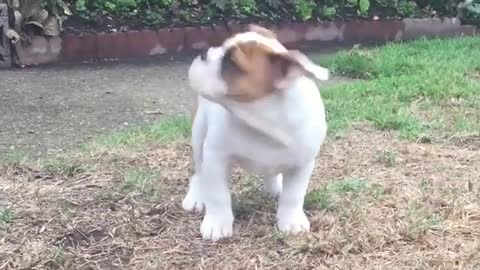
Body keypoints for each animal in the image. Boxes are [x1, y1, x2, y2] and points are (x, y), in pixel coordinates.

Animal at [182, 24, 328, 240]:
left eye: (231, 62)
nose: (203, 52)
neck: (263, 119)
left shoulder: (302, 164)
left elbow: (293, 195)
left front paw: (291, 220)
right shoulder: (216, 157)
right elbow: (217, 194)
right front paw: (217, 223)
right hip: (199, 135)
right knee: (199, 171)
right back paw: (196, 196)